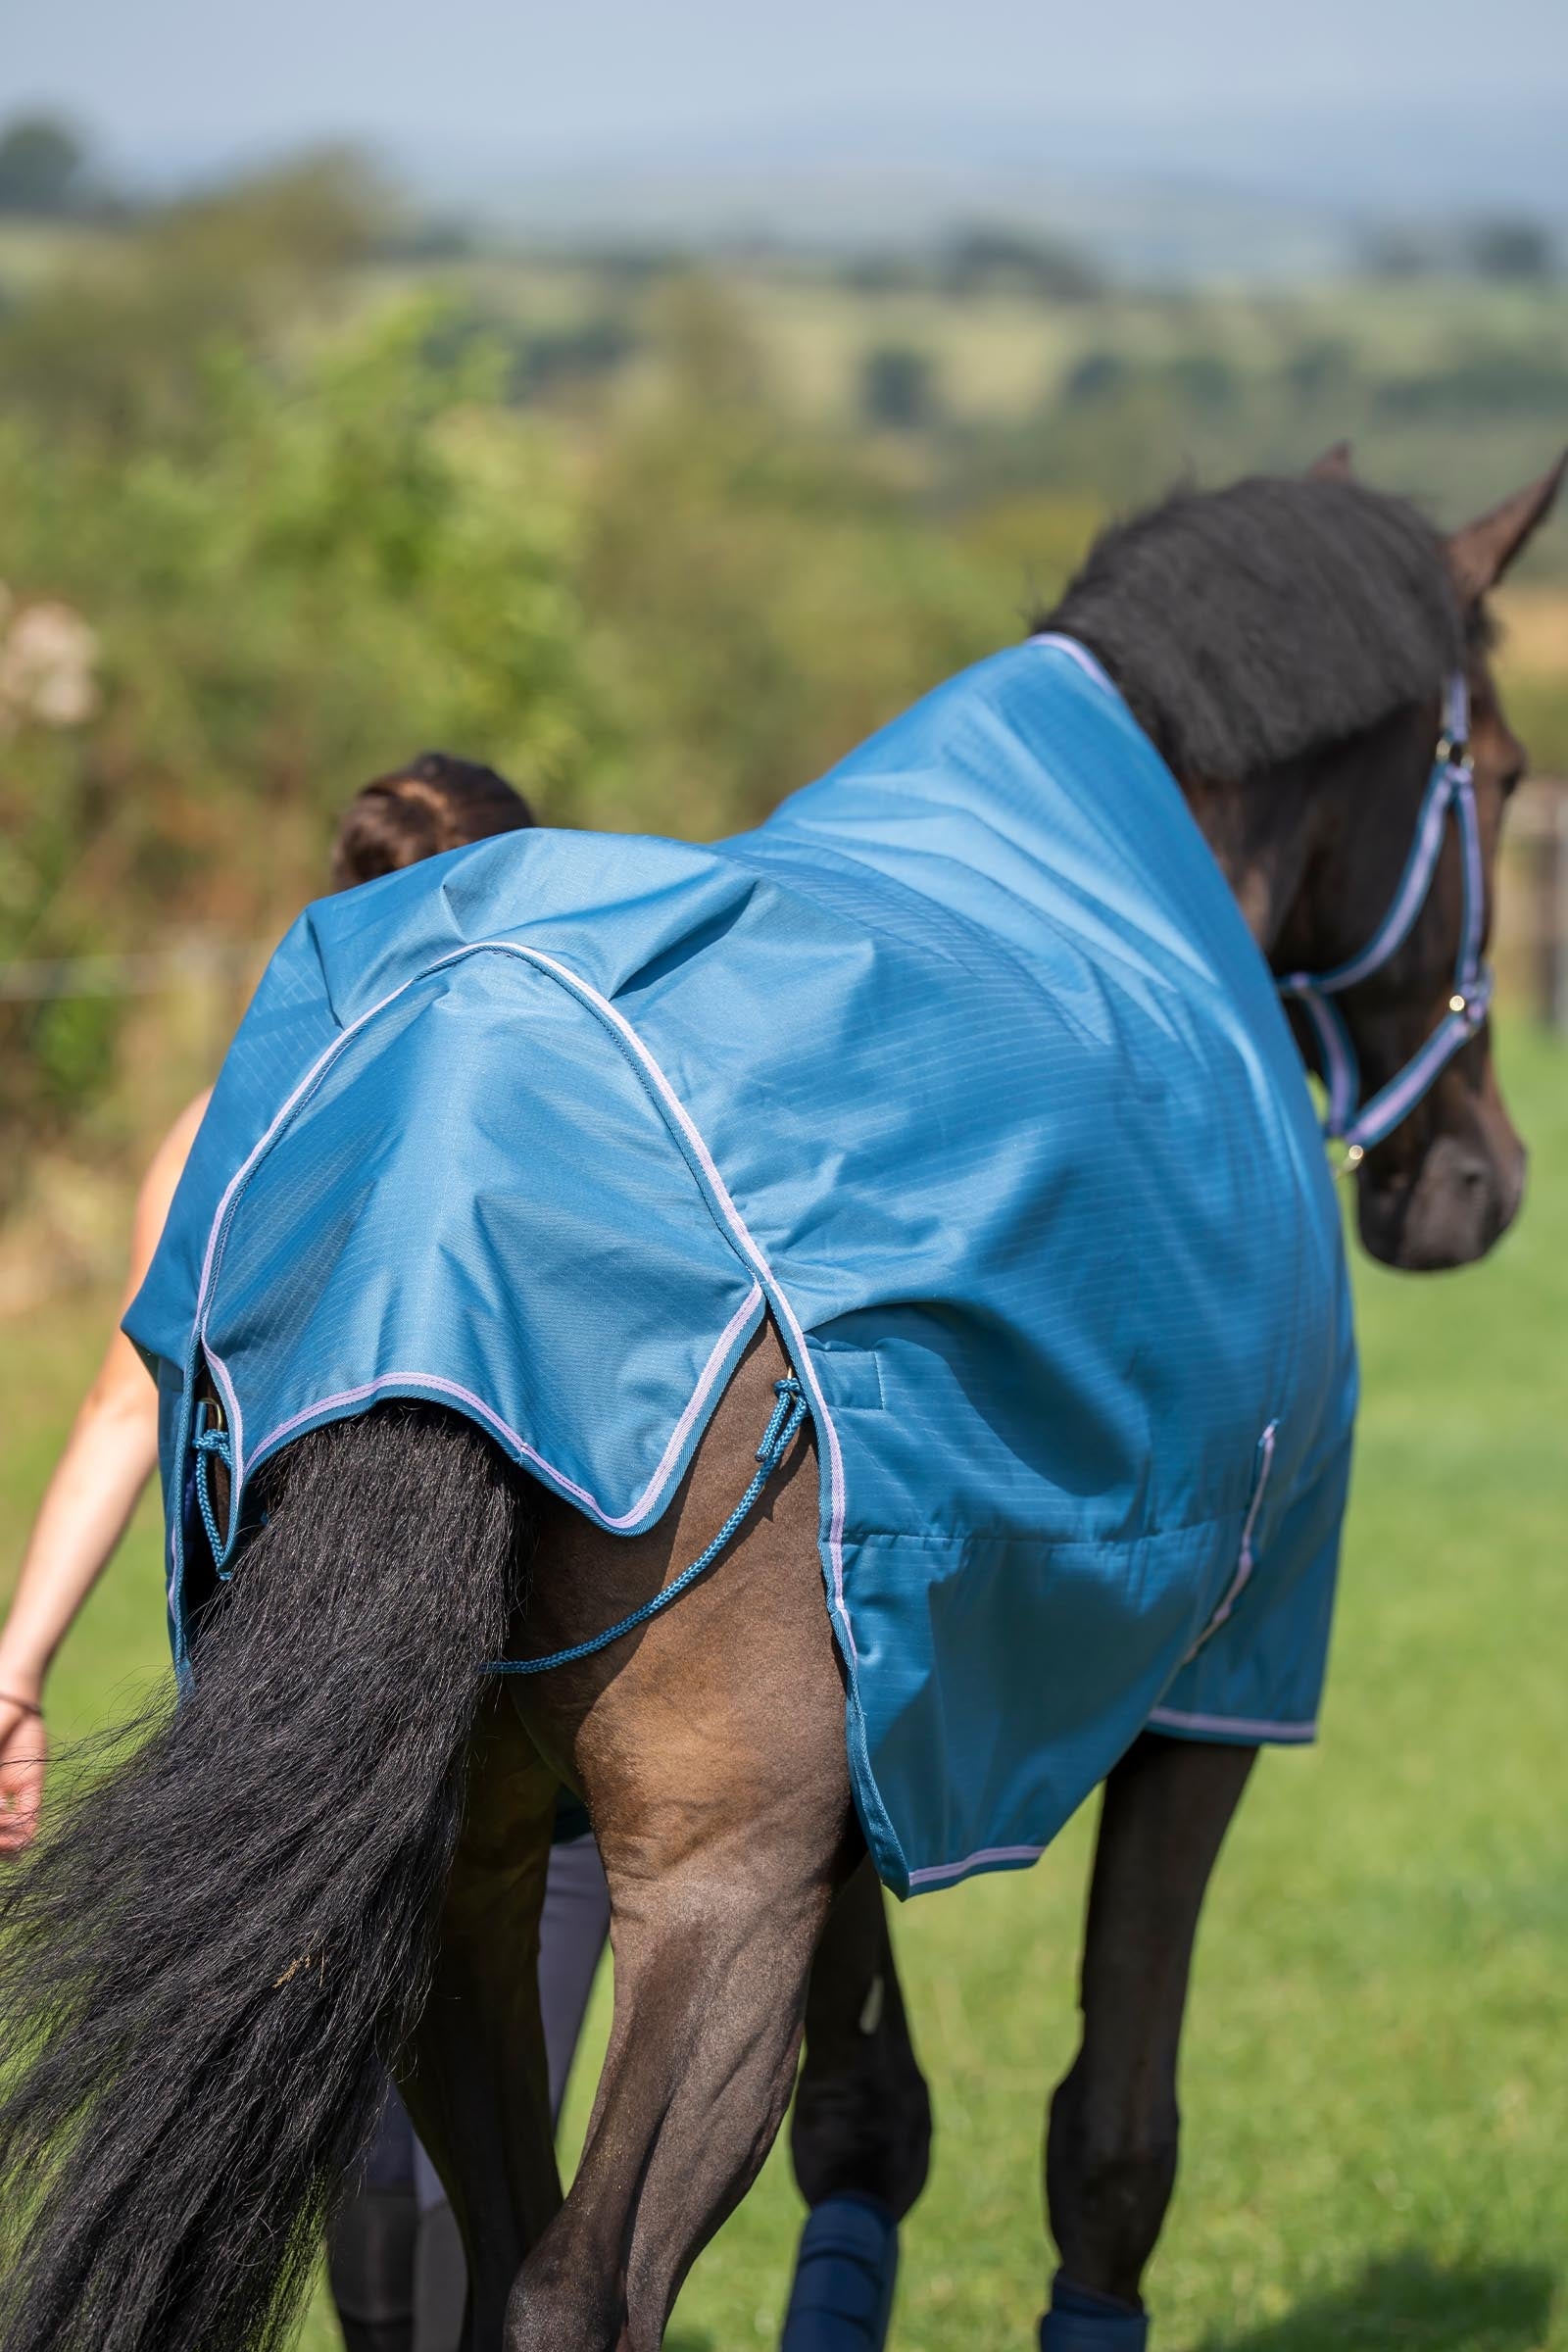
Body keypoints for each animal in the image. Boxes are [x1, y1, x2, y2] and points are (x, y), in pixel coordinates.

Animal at [0, 454, 1558, 2352]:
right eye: (1501, 767)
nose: (1474, 1182)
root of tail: (436, 1171)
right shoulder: (1213, 1700)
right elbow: (1114, 2143)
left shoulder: (886, 1731)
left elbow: (871, 2119)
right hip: (707, 1888)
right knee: (576, 2281)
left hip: (464, 1882)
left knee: (502, 2238)